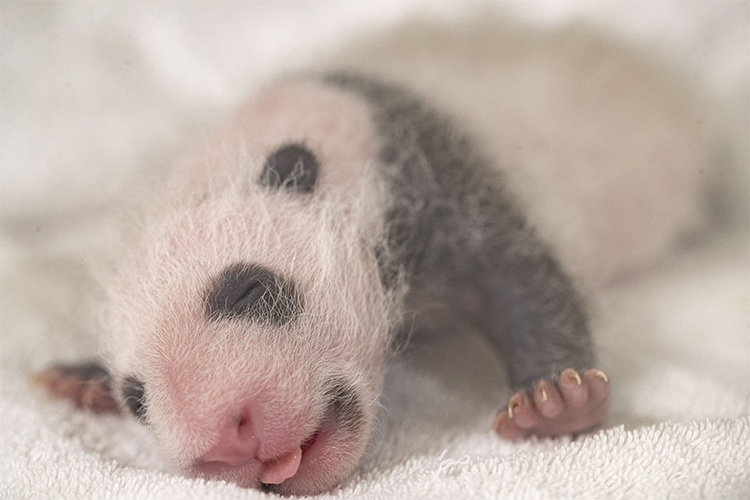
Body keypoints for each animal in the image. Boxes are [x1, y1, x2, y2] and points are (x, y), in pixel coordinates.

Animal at [36, 74, 616, 496]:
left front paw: (555, 401)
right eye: (135, 400)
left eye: (249, 290)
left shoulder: (435, 181)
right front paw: (79, 378)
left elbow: (517, 274)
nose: (226, 442)